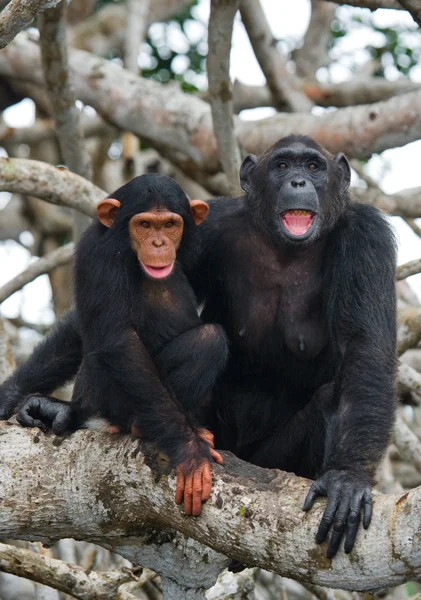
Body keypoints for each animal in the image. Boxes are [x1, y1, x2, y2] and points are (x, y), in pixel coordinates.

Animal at [0, 173, 228, 516]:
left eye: (170, 225)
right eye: (144, 225)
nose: (158, 244)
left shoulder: (202, 248)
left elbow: (78, 326)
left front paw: (10, 393)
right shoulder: (99, 254)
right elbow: (120, 341)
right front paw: (189, 452)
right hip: (113, 400)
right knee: (209, 340)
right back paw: (144, 427)